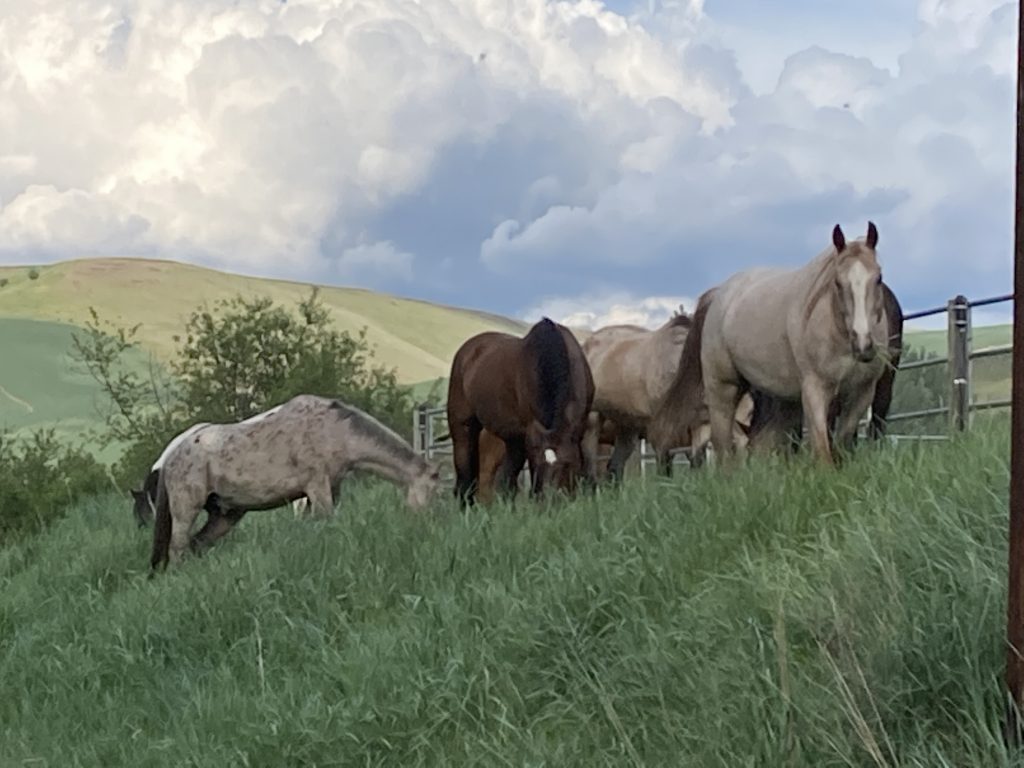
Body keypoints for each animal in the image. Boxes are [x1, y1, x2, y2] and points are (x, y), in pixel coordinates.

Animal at [149, 397, 438, 573]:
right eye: (434, 490)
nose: (427, 526)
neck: (336, 431)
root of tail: (171, 457)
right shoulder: (318, 488)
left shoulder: (324, 490)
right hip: (186, 511)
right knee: (177, 550)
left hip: (224, 516)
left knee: (196, 545)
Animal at [446, 315, 598, 507]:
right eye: (537, 465)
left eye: (565, 465)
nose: (549, 501)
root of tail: (467, 351)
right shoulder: (533, 436)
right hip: (463, 427)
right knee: (466, 474)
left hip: (513, 439)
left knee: (506, 479)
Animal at [581, 309, 757, 479]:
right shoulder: (662, 430)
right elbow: (664, 469)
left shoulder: (700, 425)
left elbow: (696, 462)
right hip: (592, 422)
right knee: (589, 467)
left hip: (627, 426)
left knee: (614, 468)